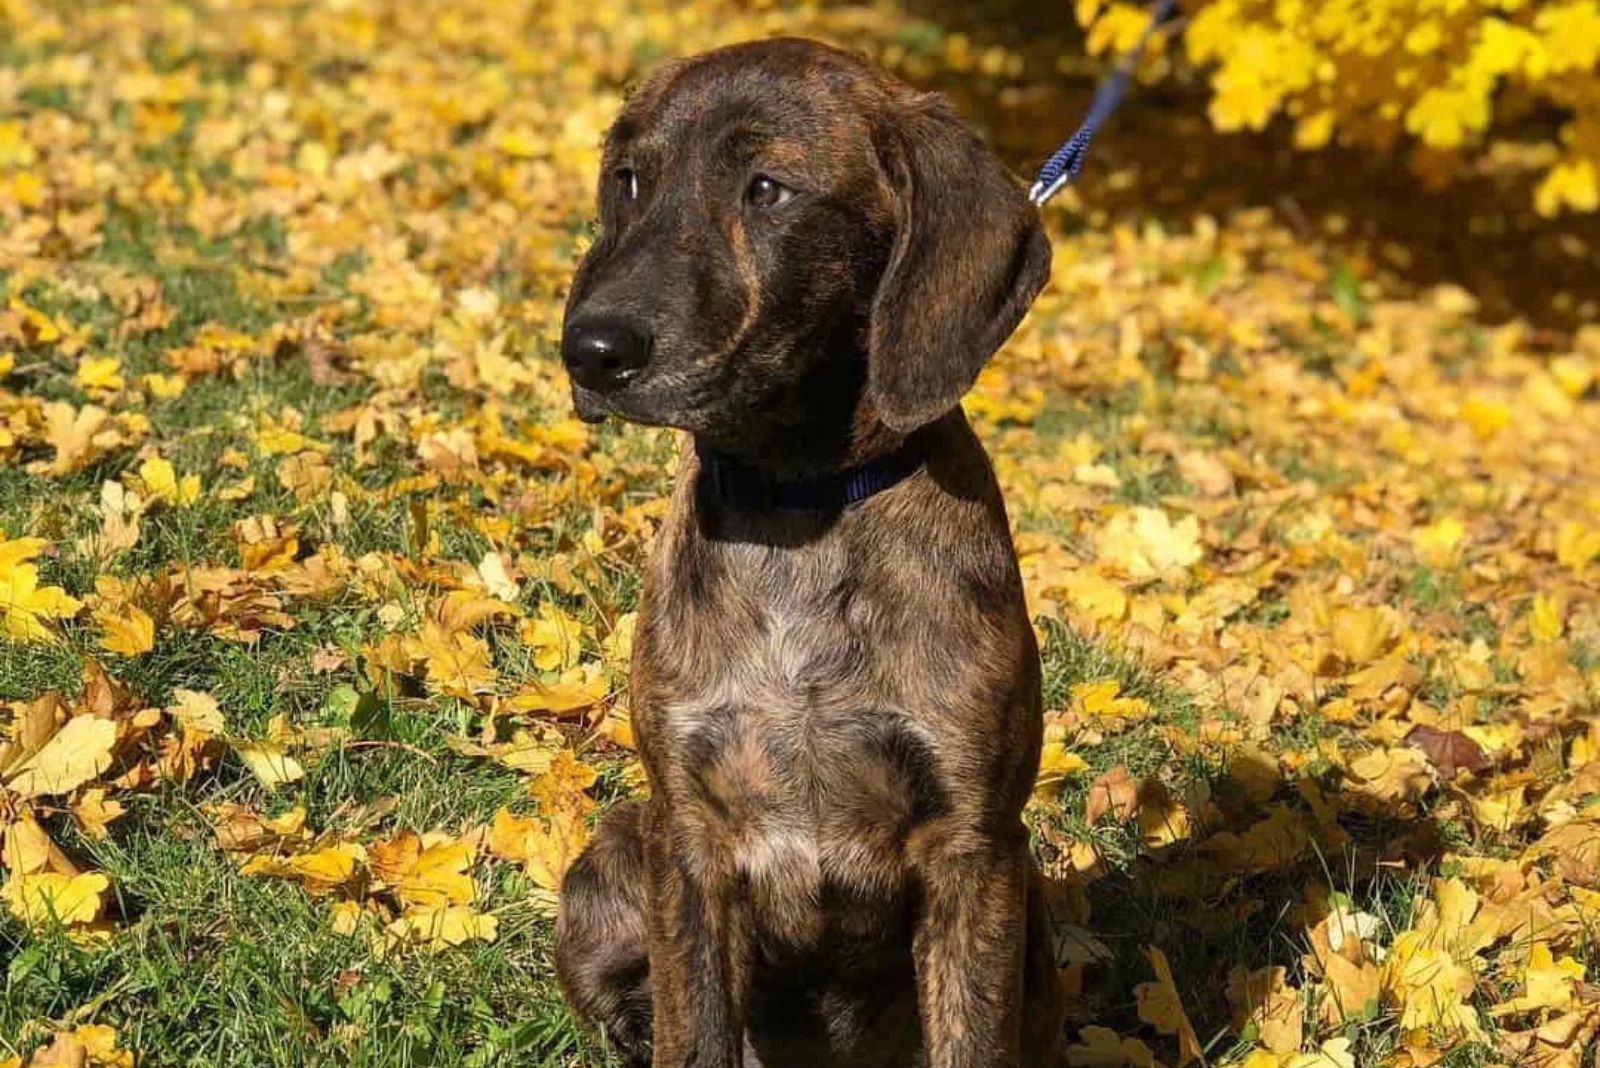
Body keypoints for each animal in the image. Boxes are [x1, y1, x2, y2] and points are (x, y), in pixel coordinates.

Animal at [553, 35, 1062, 1068]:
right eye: (629, 180)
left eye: (768, 189)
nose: (590, 350)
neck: (798, 515)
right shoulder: (689, 837)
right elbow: (696, 1032)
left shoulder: (976, 851)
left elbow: (974, 1037)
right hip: (613, 854)